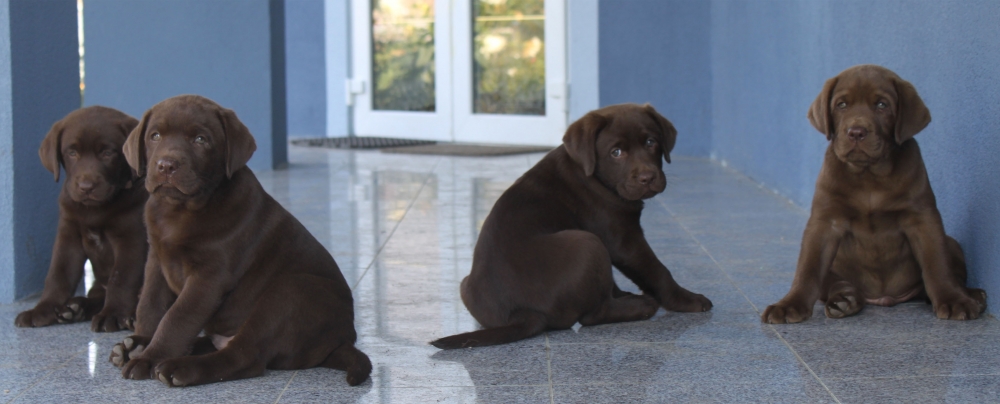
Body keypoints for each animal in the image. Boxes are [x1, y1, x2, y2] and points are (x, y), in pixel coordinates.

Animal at [15, 106, 147, 332]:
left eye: (108, 152)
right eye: (72, 152)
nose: (86, 187)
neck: (94, 209)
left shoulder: (132, 238)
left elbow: (121, 277)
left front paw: (113, 314)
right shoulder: (69, 235)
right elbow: (58, 274)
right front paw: (43, 309)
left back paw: (131, 317)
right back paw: (75, 308)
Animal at [108, 95, 371, 387]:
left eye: (200, 139)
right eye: (155, 136)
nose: (166, 165)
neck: (179, 210)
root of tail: (344, 338)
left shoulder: (210, 276)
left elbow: (178, 316)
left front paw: (149, 357)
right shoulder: (157, 261)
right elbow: (151, 305)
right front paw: (143, 343)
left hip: (289, 294)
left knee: (244, 357)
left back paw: (179, 368)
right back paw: (142, 349)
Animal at [431, 104, 713, 349]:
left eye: (651, 142)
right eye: (616, 152)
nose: (647, 177)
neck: (596, 177)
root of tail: (523, 313)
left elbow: (612, 280)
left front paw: (624, 293)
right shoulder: (623, 240)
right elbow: (657, 271)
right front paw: (686, 300)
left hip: (465, 284)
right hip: (587, 242)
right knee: (592, 315)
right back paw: (642, 306)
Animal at [762, 64, 987, 324]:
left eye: (882, 105)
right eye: (841, 105)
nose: (856, 132)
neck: (869, 175)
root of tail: (884, 298)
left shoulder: (922, 217)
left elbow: (936, 263)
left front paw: (953, 299)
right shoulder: (825, 221)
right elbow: (808, 268)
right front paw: (789, 304)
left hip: (953, 243)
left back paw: (972, 295)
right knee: (833, 283)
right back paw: (844, 300)